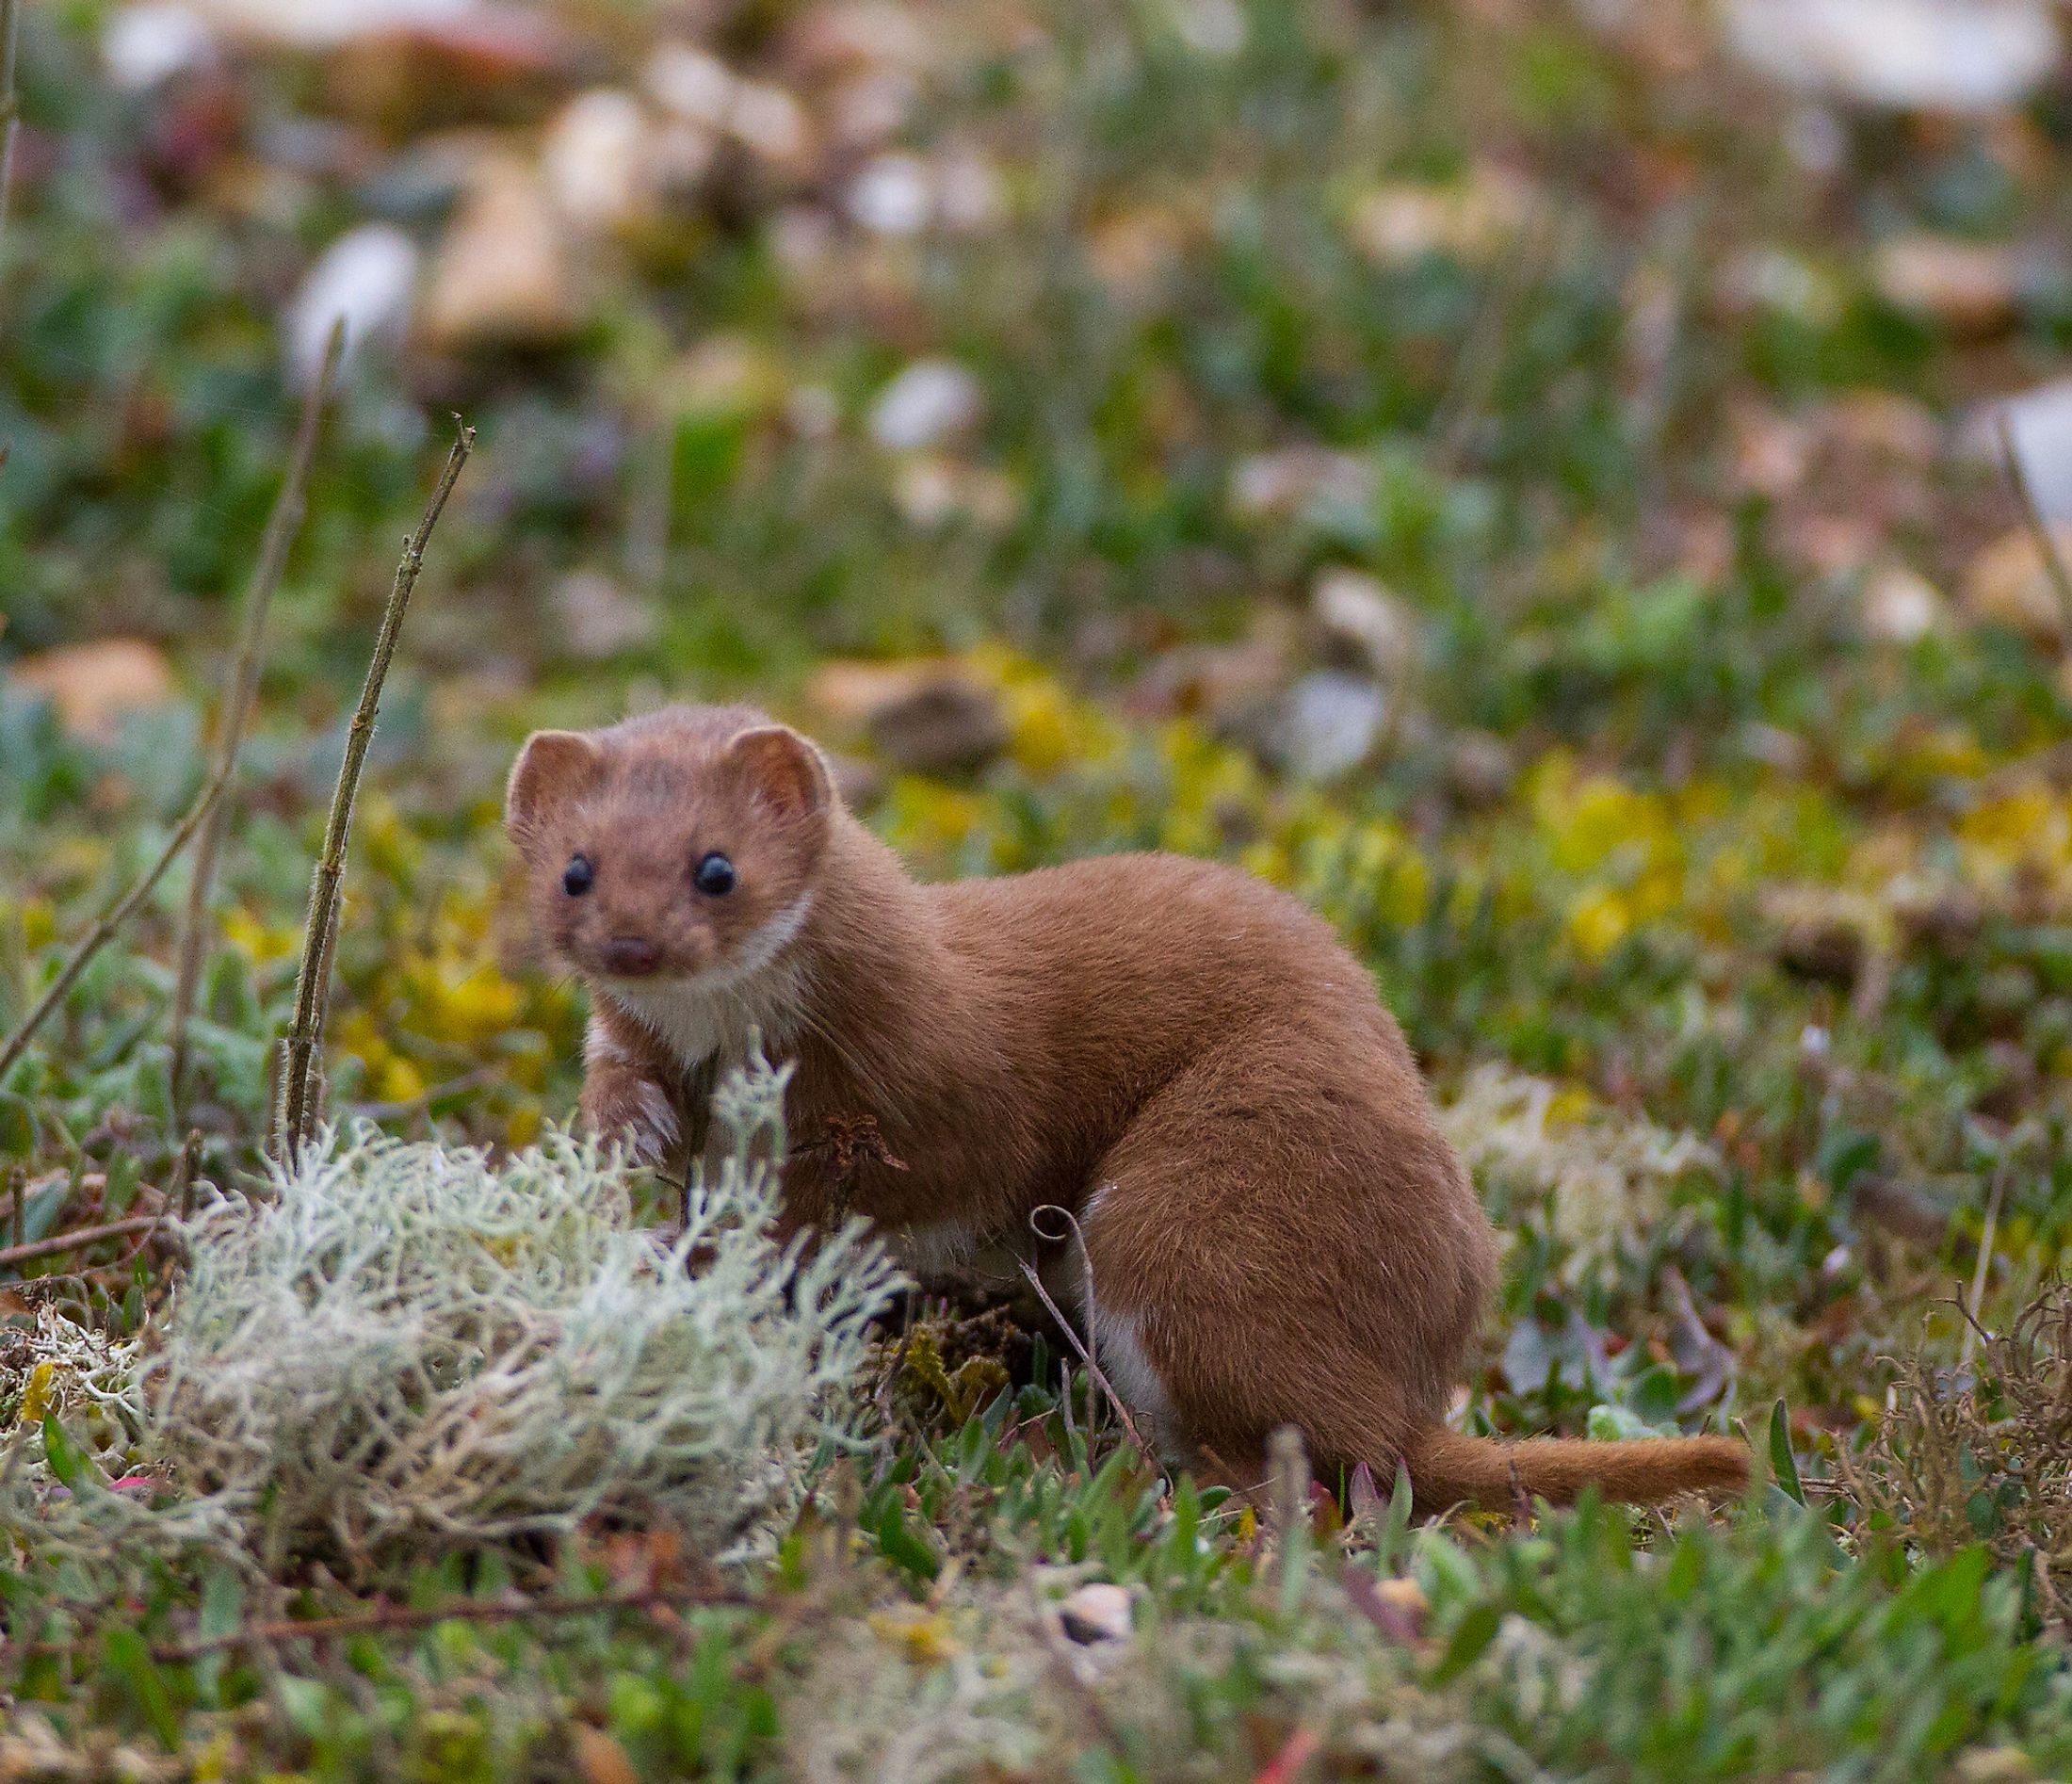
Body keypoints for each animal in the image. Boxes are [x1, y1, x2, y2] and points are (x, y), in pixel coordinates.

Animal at [505, 704, 1748, 1508]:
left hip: (1198, 1201)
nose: (630, 942)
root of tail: (1411, 1383)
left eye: (717, 867)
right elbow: (630, 1094)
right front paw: (631, 1150)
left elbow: (898, 1174)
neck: (738, 1054)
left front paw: (748, 1245)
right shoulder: (645, 1042)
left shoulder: (942, 1082)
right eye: (574, 869)